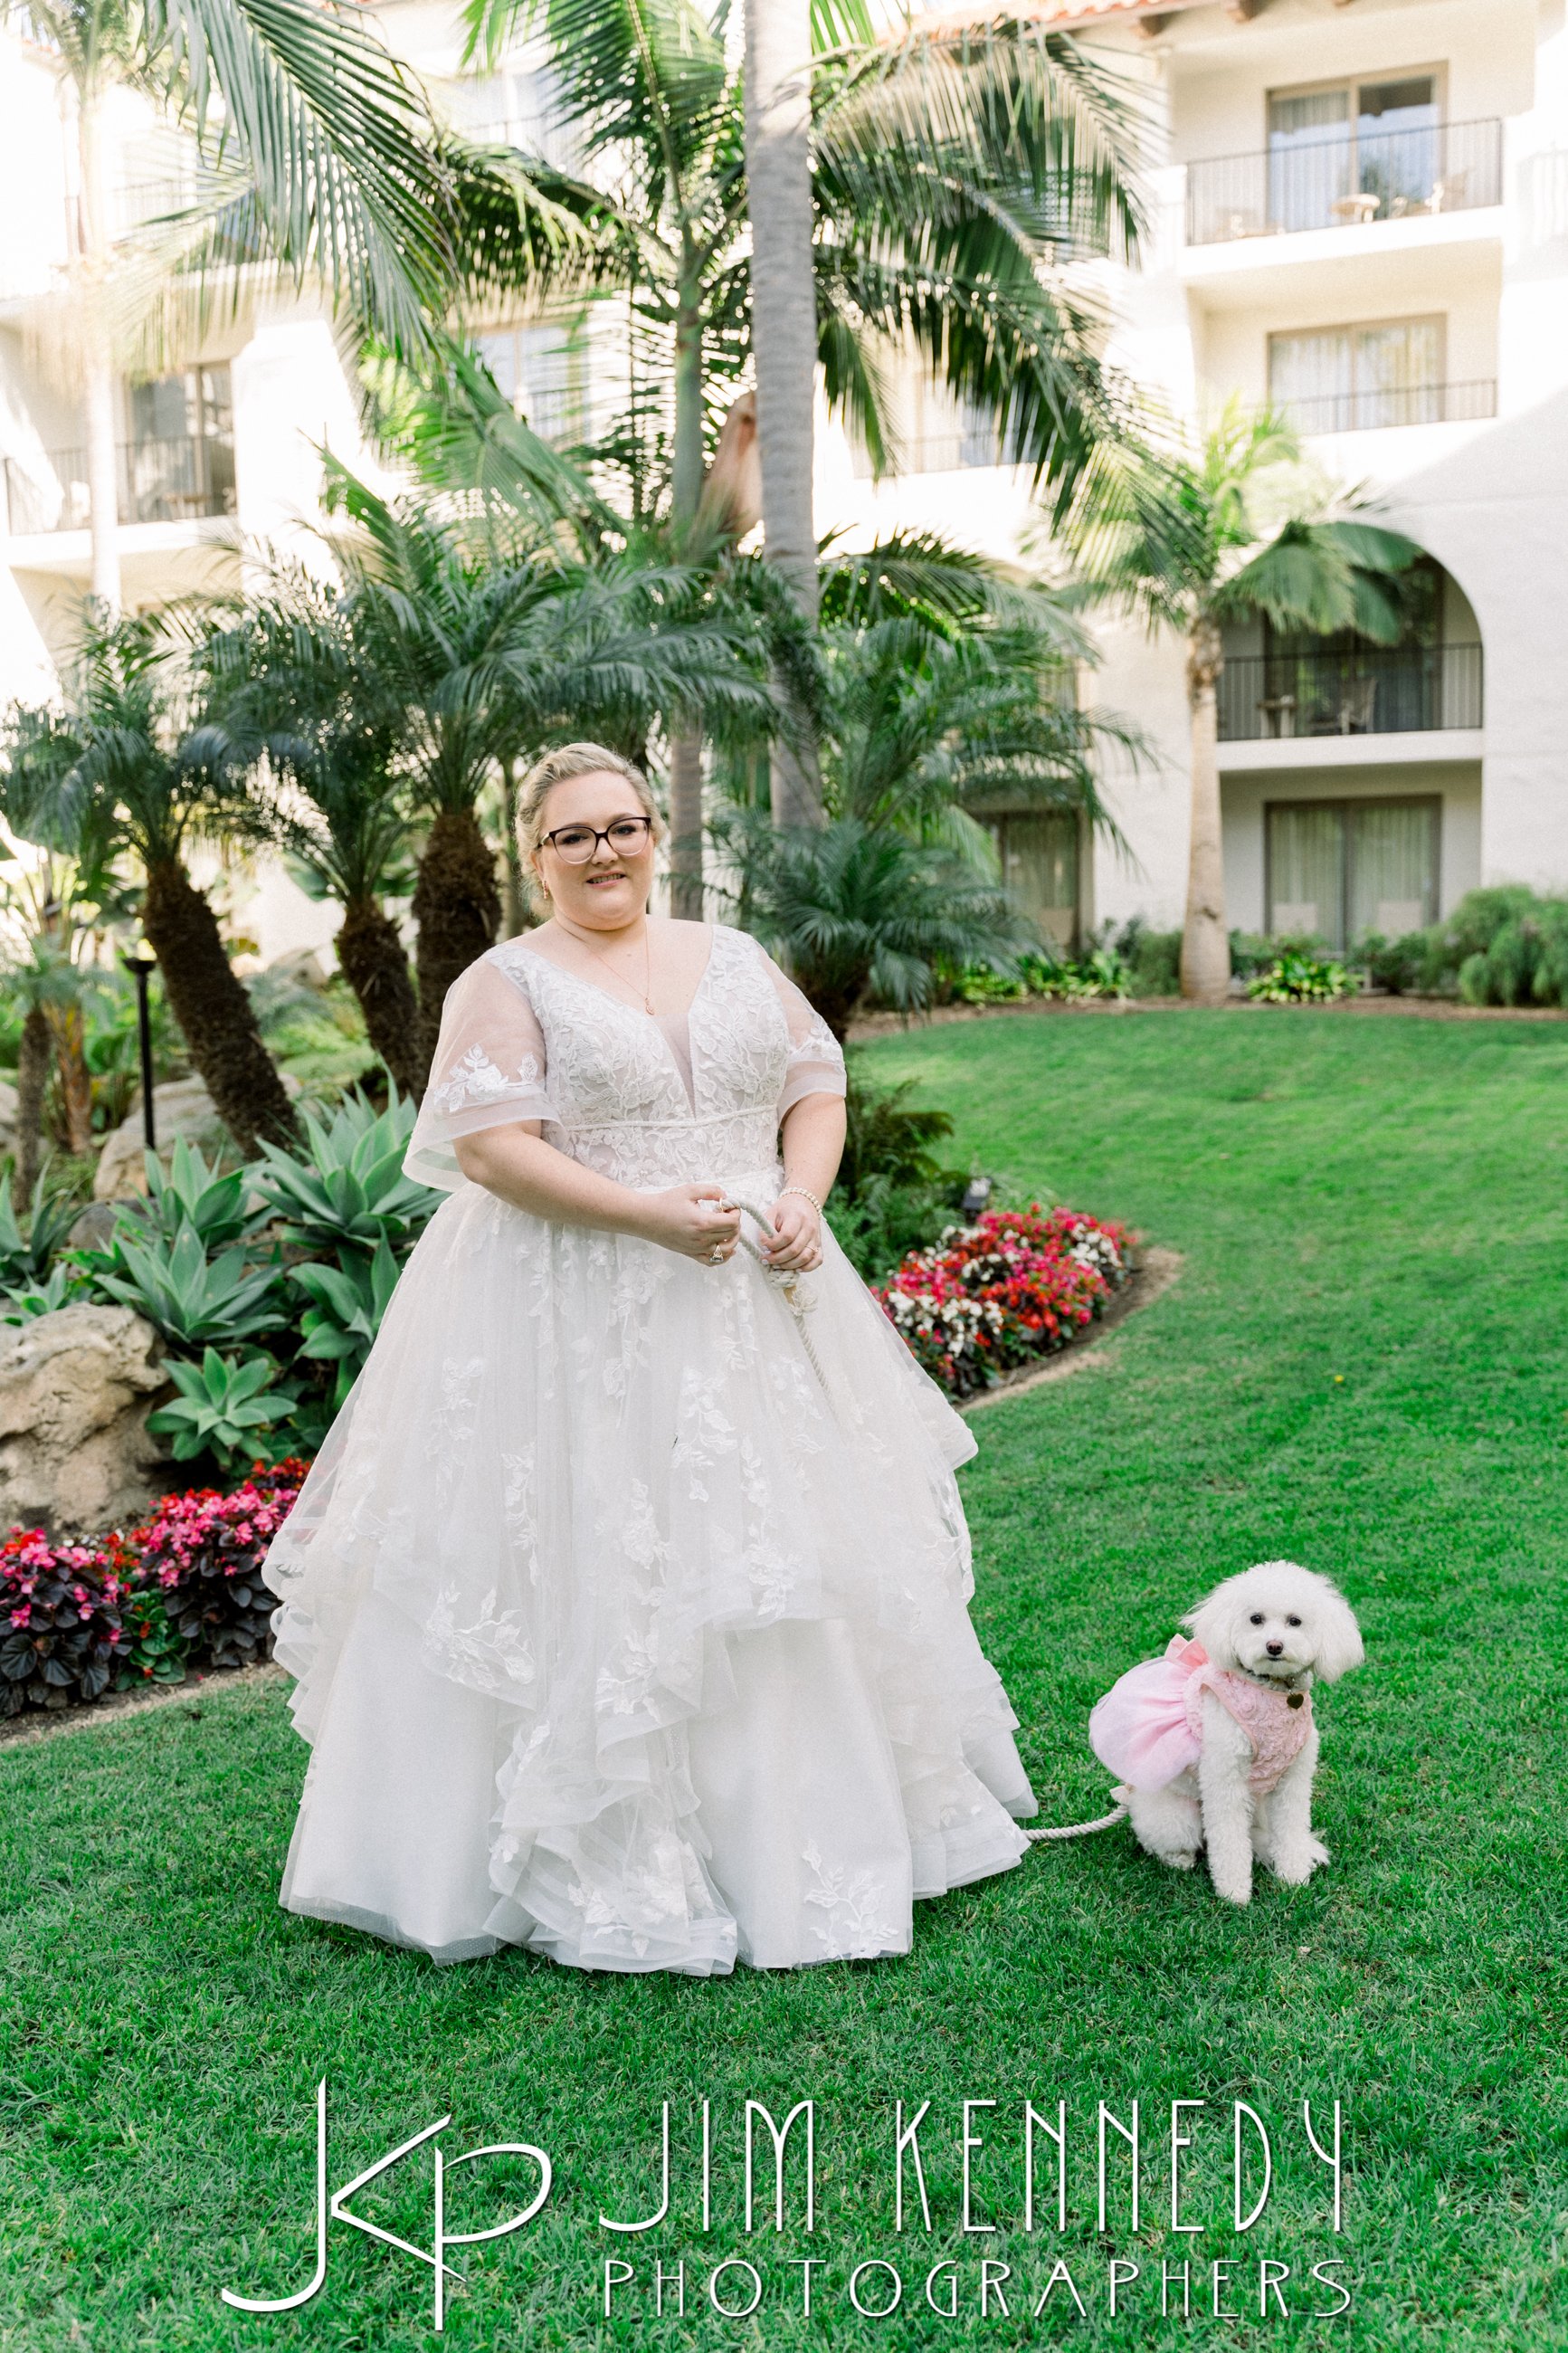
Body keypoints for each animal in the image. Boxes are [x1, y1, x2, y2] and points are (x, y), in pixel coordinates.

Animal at [1087, 1562, 1364, 1905]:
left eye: (1295, 1621)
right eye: (1255, 1619)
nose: (1274, 1646)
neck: (1272, 1691)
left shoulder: (1294, 1779)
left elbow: (1291, 1828)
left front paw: (1294, 1876)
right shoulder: (1225, 1778)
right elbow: (1229, 1839)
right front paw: (1234, 1892)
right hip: (1178, 1818)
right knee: (1164, 1841)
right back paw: (1180, 1860)